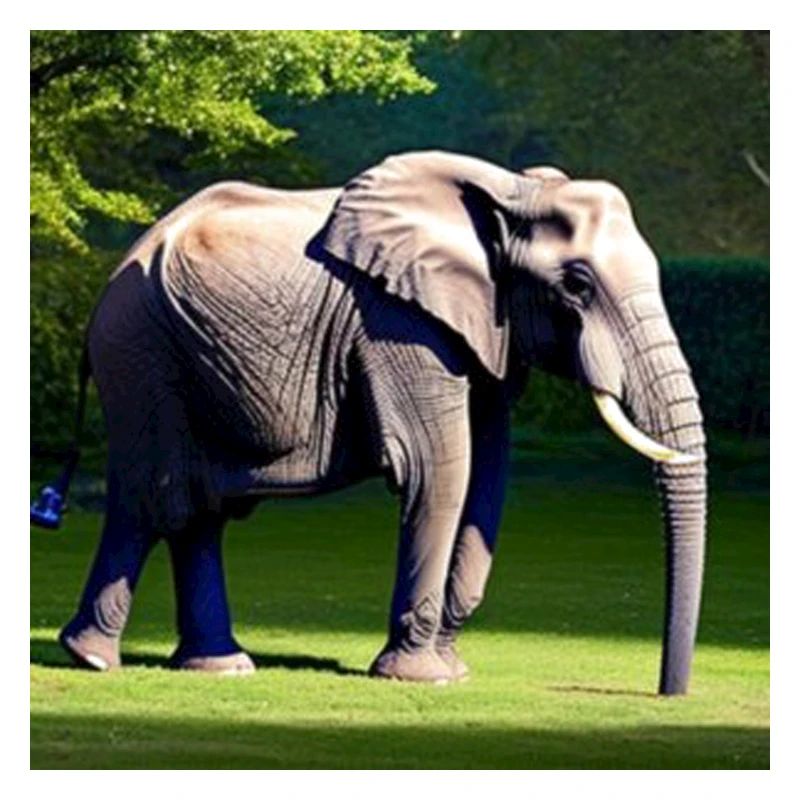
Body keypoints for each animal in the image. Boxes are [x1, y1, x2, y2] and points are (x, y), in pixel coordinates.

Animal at [32, 151, 706, 693]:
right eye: (577, 284)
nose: (667, 692)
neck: (512, 192)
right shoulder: (397, 322)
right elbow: (440, 471)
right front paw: (423, 678)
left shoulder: (483, 330)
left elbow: (487, 477)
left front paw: (451, 668)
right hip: (140, 353)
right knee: (156, 497)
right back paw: (94, 660)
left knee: (197, 511)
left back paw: (218, 667)